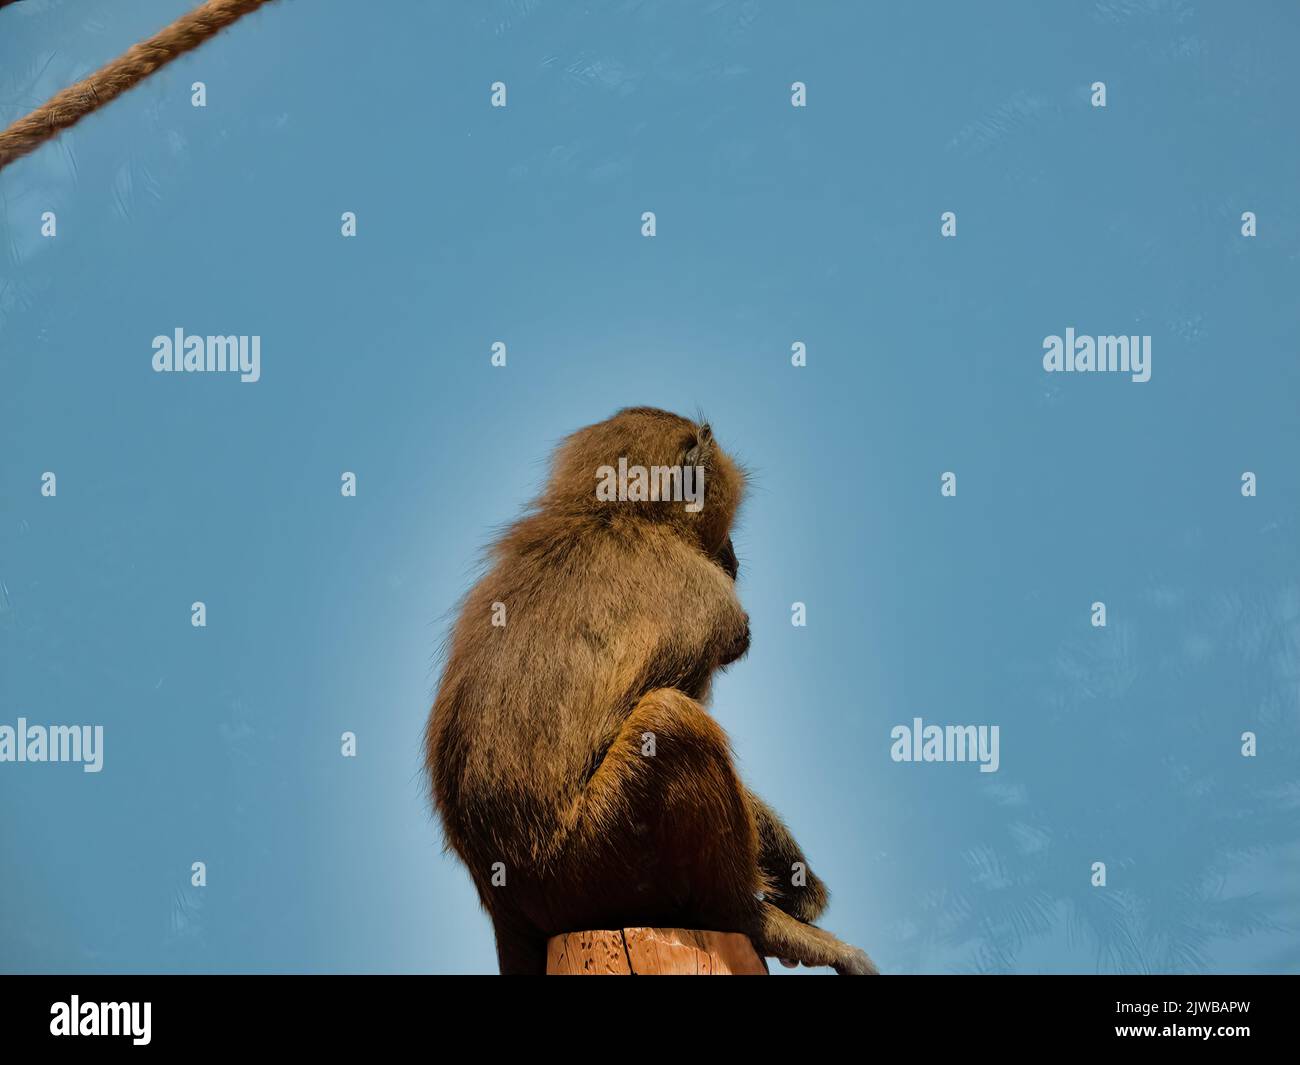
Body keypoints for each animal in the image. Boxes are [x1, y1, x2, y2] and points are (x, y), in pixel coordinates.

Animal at [425, 407, 877, 975]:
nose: (734, 557)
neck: (614, 514)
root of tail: (502, 903)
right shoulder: (712, 600)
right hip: (594, 865)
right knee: (671, 721)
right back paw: (751, 919)